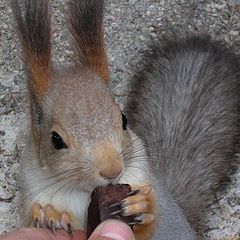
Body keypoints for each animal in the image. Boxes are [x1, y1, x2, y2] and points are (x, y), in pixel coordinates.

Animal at [11, 0, 240, 240]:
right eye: (55, 139)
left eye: (123, 120)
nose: (113, 171)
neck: (85, 193)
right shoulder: (32, 188)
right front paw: (49, 214)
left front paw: (141, 205)